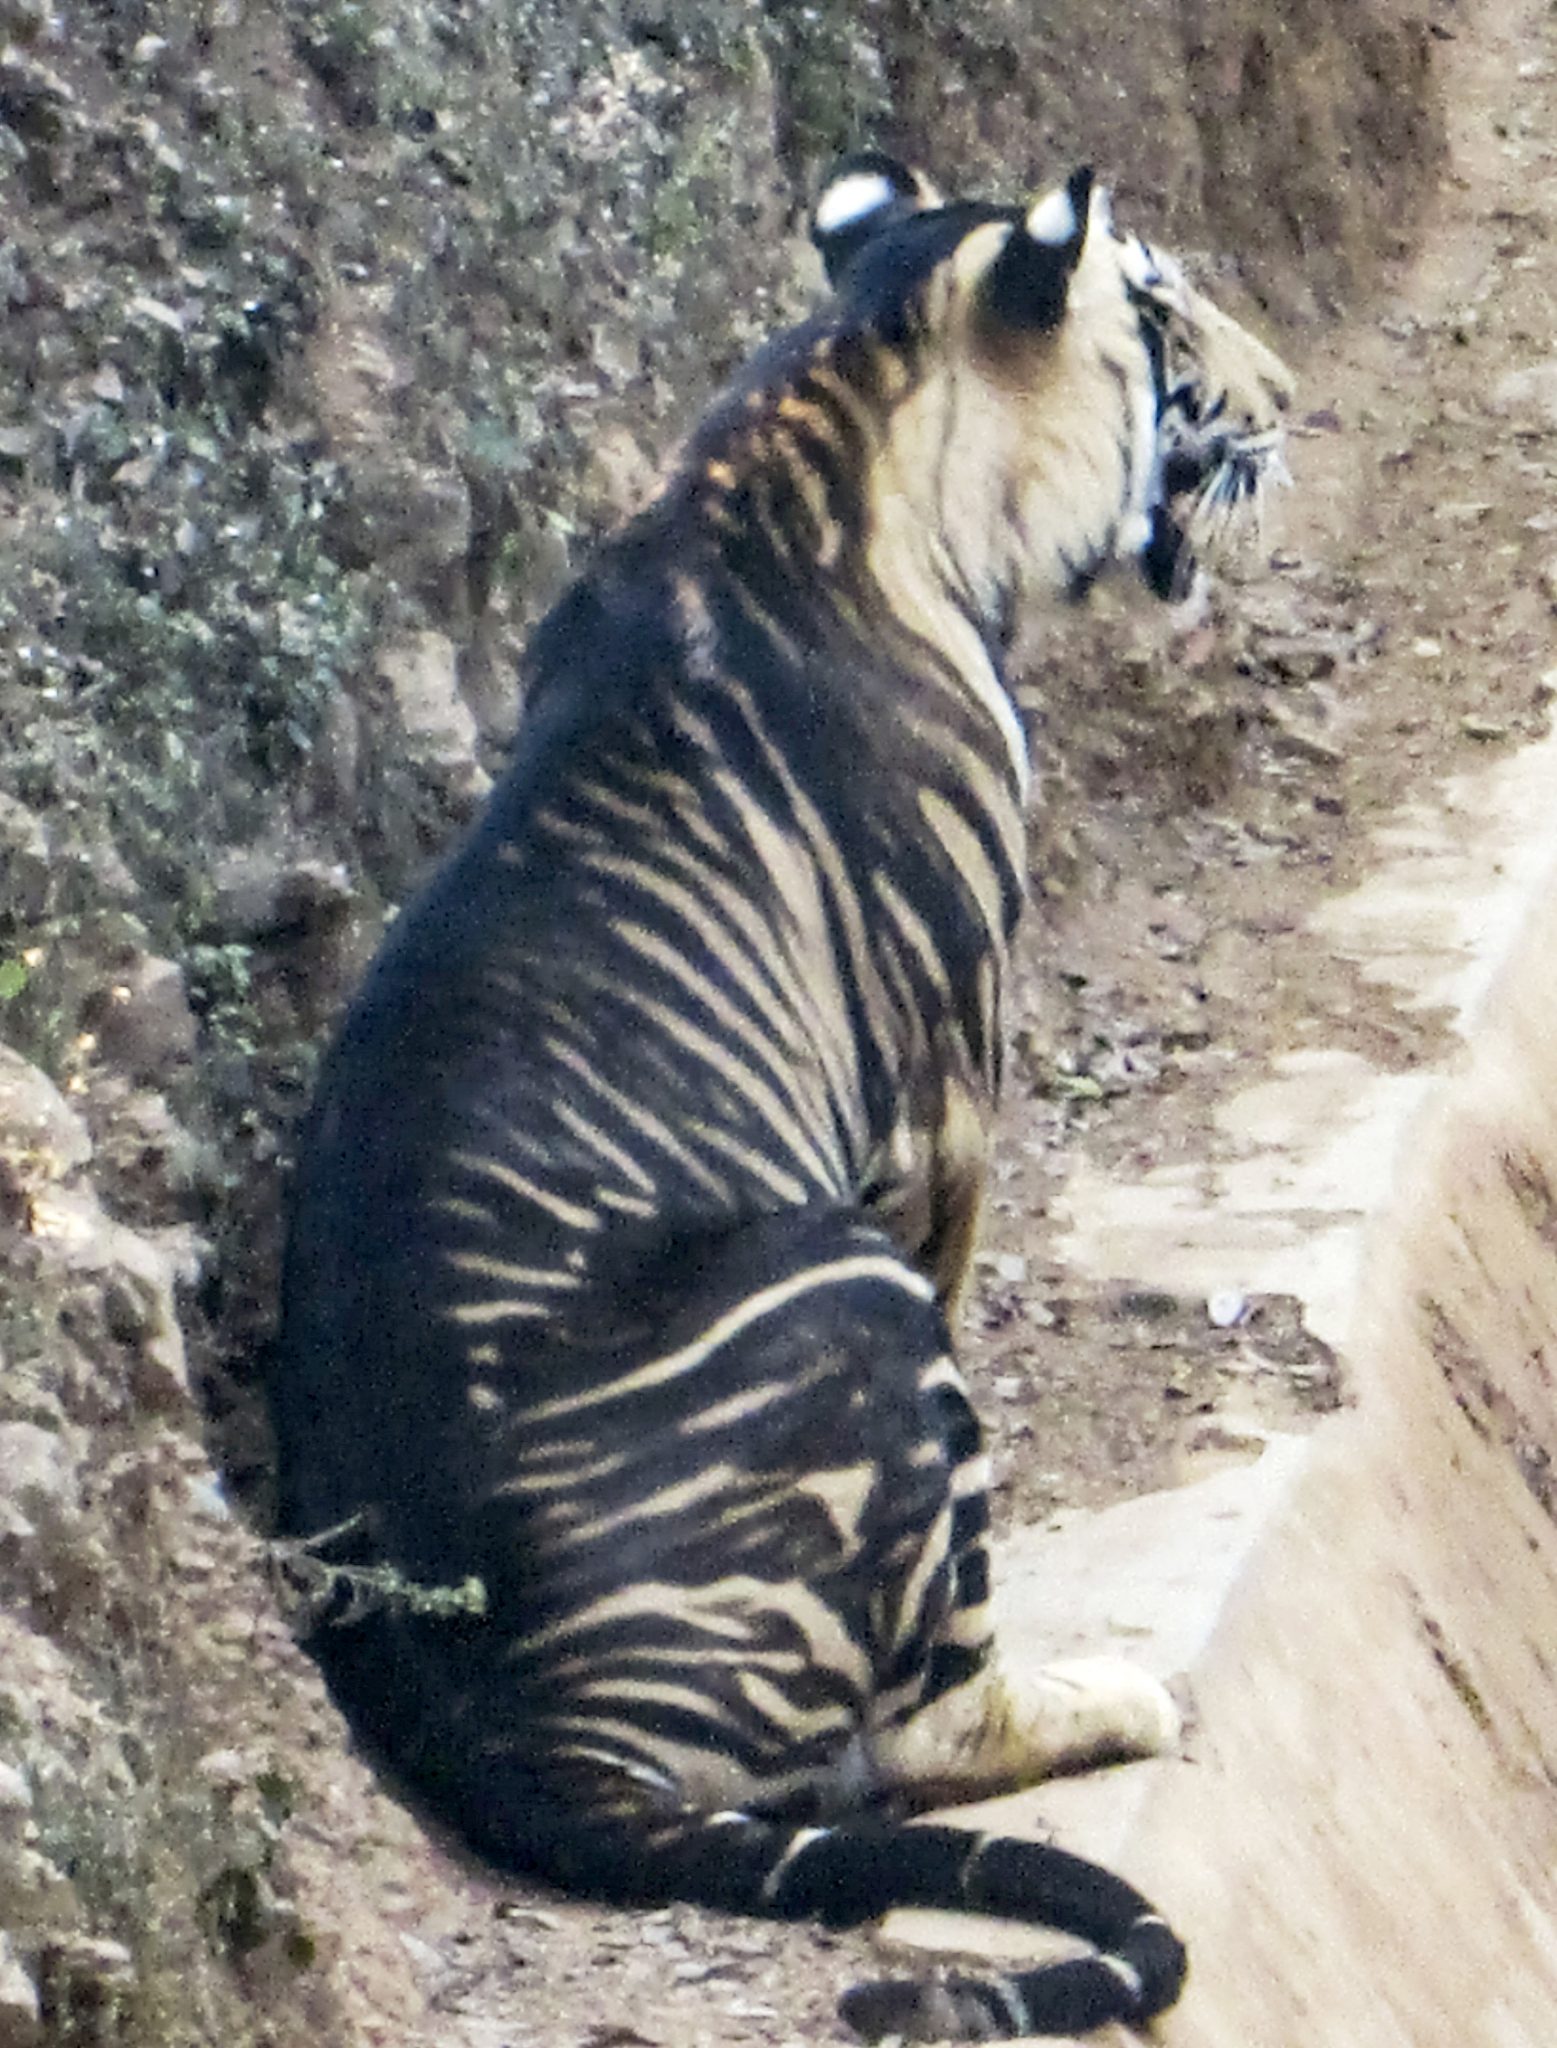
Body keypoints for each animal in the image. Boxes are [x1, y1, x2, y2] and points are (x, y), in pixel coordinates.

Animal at [268, 151, 1286, 2039]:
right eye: (1165, 306)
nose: (1287, 400)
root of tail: (519, 1740)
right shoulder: (948, 1097)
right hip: (839, 1290)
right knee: (923, 1725)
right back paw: (1113, 1696)